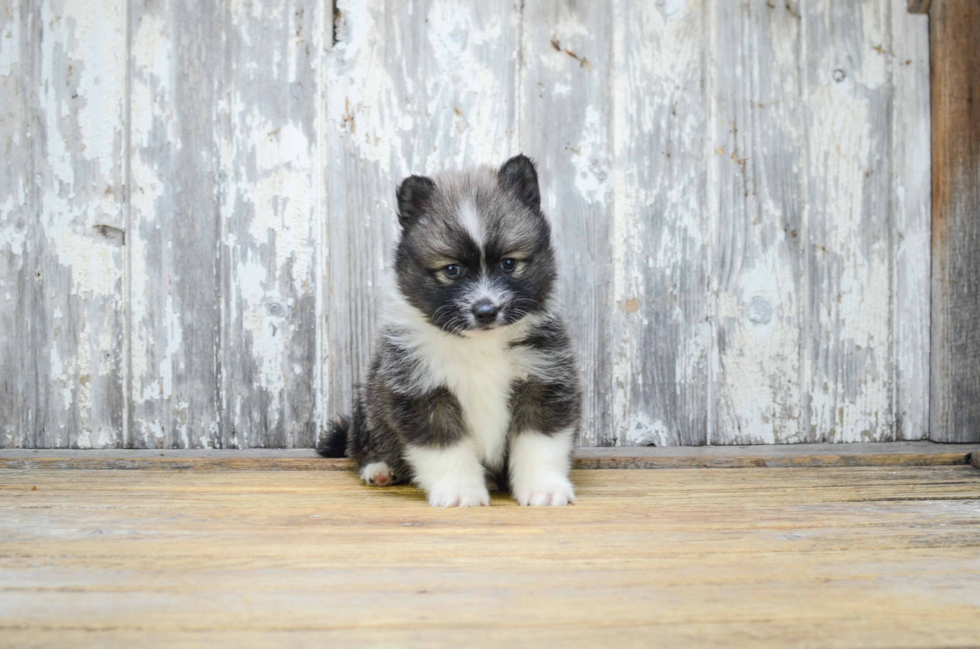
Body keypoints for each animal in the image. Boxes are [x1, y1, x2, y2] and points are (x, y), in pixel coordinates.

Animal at [320, 153, 580, 506]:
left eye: (508, 264)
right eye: (452, 270)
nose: (486, 311)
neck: (480, 345)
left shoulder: (543, 380)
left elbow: (539, 442)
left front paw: (544, 487)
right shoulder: (423, 390)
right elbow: (446, 448)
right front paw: (460, 491)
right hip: (369, 403)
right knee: (359, 444)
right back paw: (380, 467)